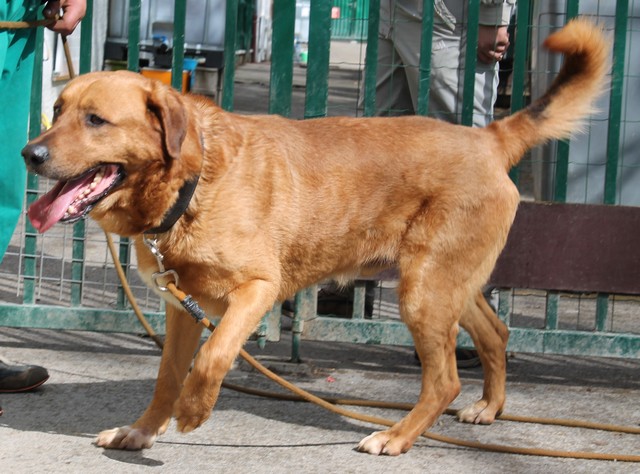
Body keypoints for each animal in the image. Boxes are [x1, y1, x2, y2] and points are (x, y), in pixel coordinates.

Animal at [22, 20, 608, 454]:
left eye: (96, 120)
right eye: (58, 110)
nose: (30, 154)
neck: (193, 178)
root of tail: (489, 137)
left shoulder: (255, 292)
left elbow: (213, 357)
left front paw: (193, 411)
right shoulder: (180, 307)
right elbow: (167, 375)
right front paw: (143, 430)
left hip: (423, 292)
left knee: (443, 379)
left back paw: (396, 437)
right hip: (445, 286)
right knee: (496, 333)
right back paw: (489, 407)